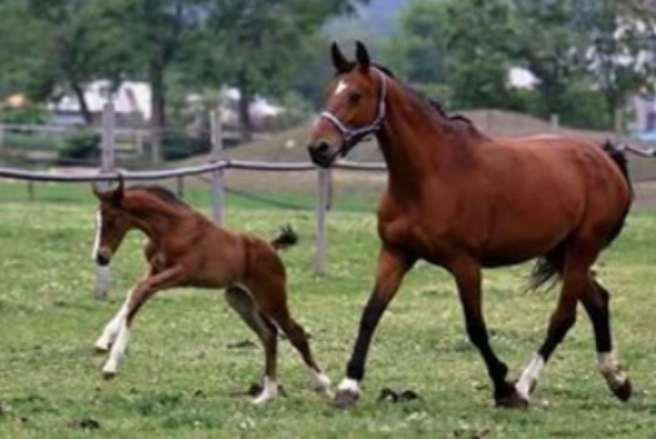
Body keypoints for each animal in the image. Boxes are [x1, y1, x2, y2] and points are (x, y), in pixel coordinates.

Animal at [89, 177, 330, 404]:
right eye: (97, 220)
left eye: (110, 219)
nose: (100, 257)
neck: (172, 229)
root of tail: (271, 247)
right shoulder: (155, 270)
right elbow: (134, 294)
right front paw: (103, 341)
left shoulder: (181, 274)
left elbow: (140, 290)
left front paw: (111, 364)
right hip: (240, 299)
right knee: (269, 334)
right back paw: (266, 395)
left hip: (270, 297)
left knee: (295, 332)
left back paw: (324, 386)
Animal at [308, 41, 636, 410]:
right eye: (329, 92)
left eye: (355, 95)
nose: (319, 148)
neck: (430, 175)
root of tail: (606, 159)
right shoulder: (395, 254)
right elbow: (370, 313)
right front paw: (348, 386)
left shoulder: (465, 264)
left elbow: (476, 327)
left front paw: (504, 387)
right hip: (559, 252)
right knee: (598, 301)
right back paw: (618, 381)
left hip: (582, 247)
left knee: (563, 317)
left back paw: (525, 387)